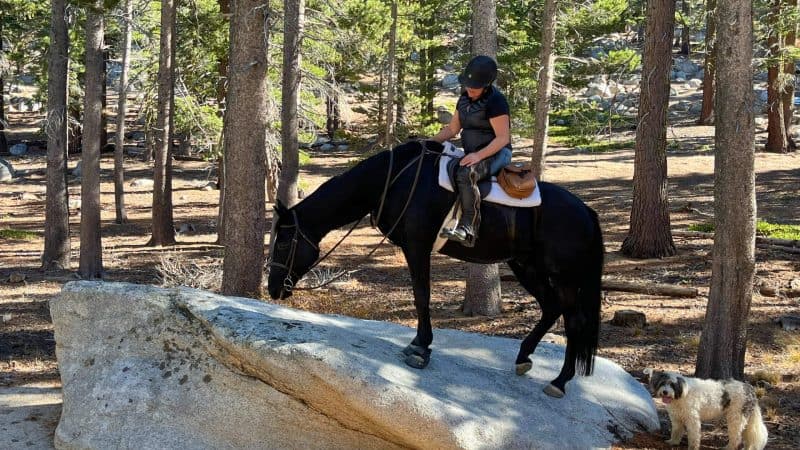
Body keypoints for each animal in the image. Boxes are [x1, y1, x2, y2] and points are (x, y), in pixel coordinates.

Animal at [267, 140, 604, 398]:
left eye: (282, 243)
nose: (272, 288)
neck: (394, 181)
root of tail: (586, 211)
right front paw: (420, 344)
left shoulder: (417, 247)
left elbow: (421, 295)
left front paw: (421, 348)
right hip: (526, 266)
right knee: (551, 307)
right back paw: (523, 358)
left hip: (563, 277)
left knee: (573, 321)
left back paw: (559, 381)